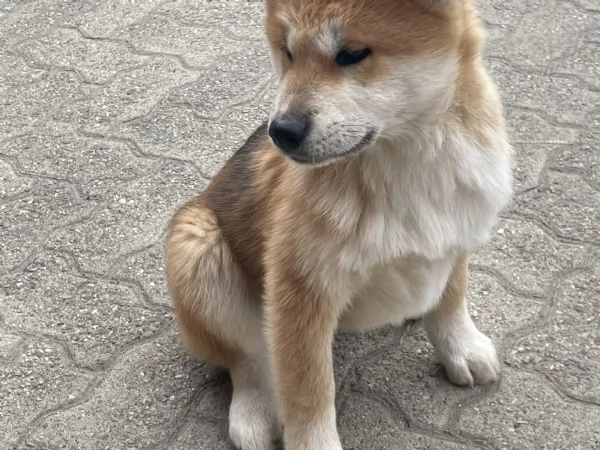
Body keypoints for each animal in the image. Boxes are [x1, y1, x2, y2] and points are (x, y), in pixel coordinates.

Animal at [166, 1, 512, 448]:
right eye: (287, 52)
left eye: (352, 54)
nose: (282, 131)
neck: (405, 164)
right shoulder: (299, 290)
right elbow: (308, 391)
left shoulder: (457, 230)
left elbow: (453, 296)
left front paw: (460, 347)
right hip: (197, 247)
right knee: (247, 355)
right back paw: (253, 411)